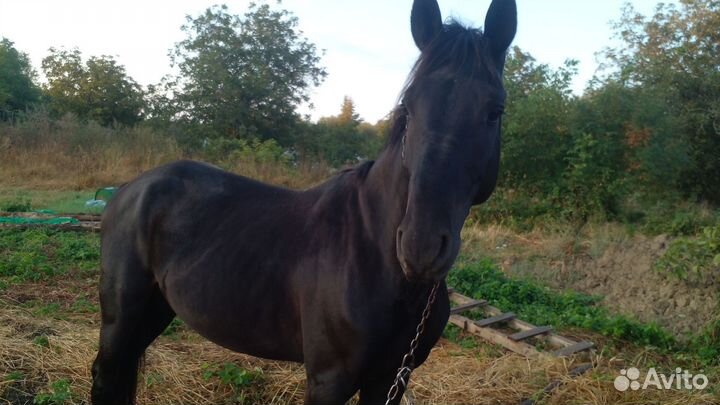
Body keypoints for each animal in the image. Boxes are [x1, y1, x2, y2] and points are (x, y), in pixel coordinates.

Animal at [90, 0, 516, 403]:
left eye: (495, 111)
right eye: (408, 107)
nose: (420, 248)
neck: (373, 255)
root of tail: (132, 188)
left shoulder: (391, 377)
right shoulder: (329, 380)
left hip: (157, 309)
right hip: (120, 317)